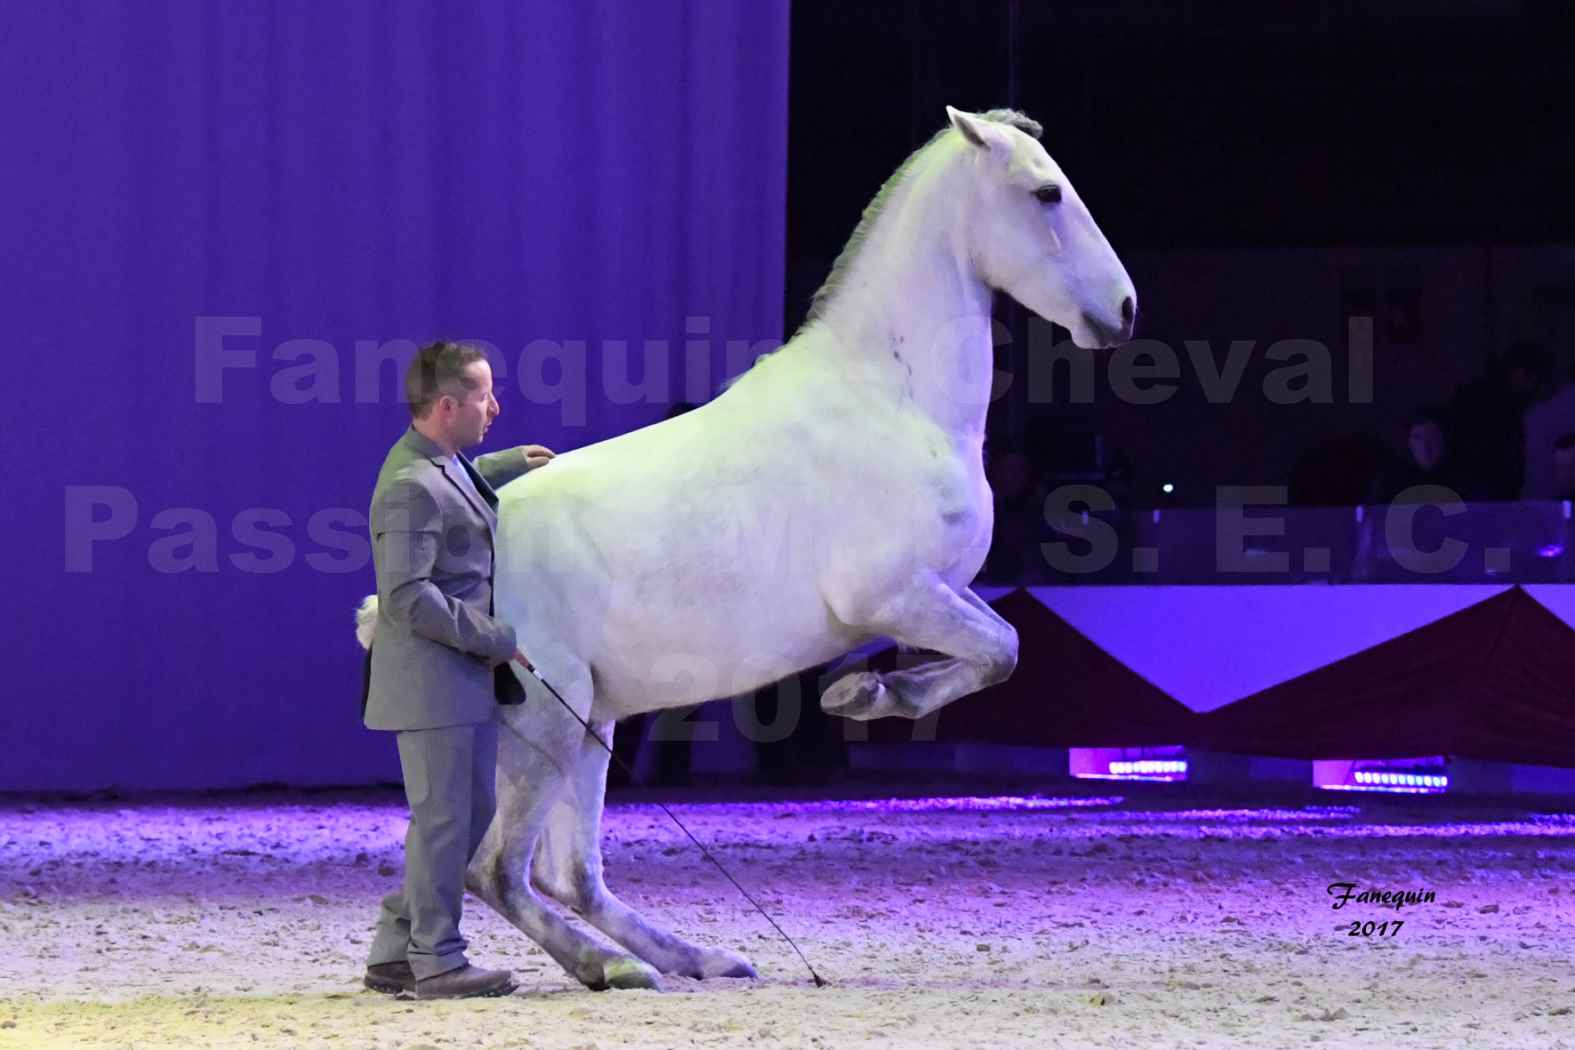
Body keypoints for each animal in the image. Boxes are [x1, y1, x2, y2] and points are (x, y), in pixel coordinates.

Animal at [354, 107, 1134, 994]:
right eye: (1045, 193)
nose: (1123, 310)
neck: (892, 398)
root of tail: (393, 602)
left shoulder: (933, 594)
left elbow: (999, 645)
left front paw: (864, 692)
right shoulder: (894, 594)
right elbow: (1002, 651)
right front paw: (866, 696)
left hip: (590, 725)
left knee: (562, 873)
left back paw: (695, 958)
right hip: (547, 726)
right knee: (496, 871)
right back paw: (612, 966)